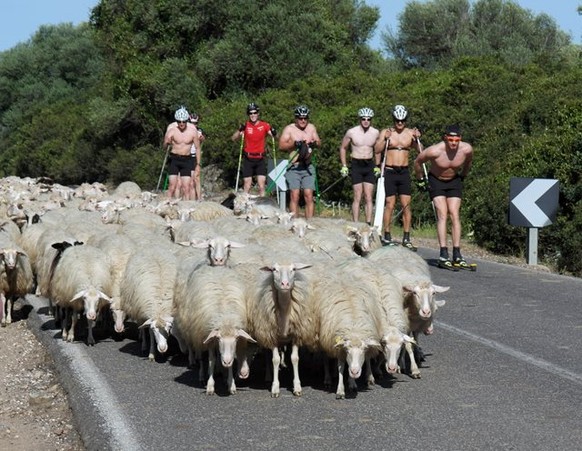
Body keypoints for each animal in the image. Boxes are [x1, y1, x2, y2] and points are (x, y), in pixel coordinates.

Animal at [172, 268, 256, 396]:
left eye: (236, 338)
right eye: (219, 338)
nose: (226, 361)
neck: (225, 317)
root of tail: (214, 268)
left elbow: (230, 362)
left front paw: (231, 384)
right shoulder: (210, 340)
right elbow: (211, 360)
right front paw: (210, 386)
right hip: (197, 333)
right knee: (201, 357)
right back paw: (202, 375)